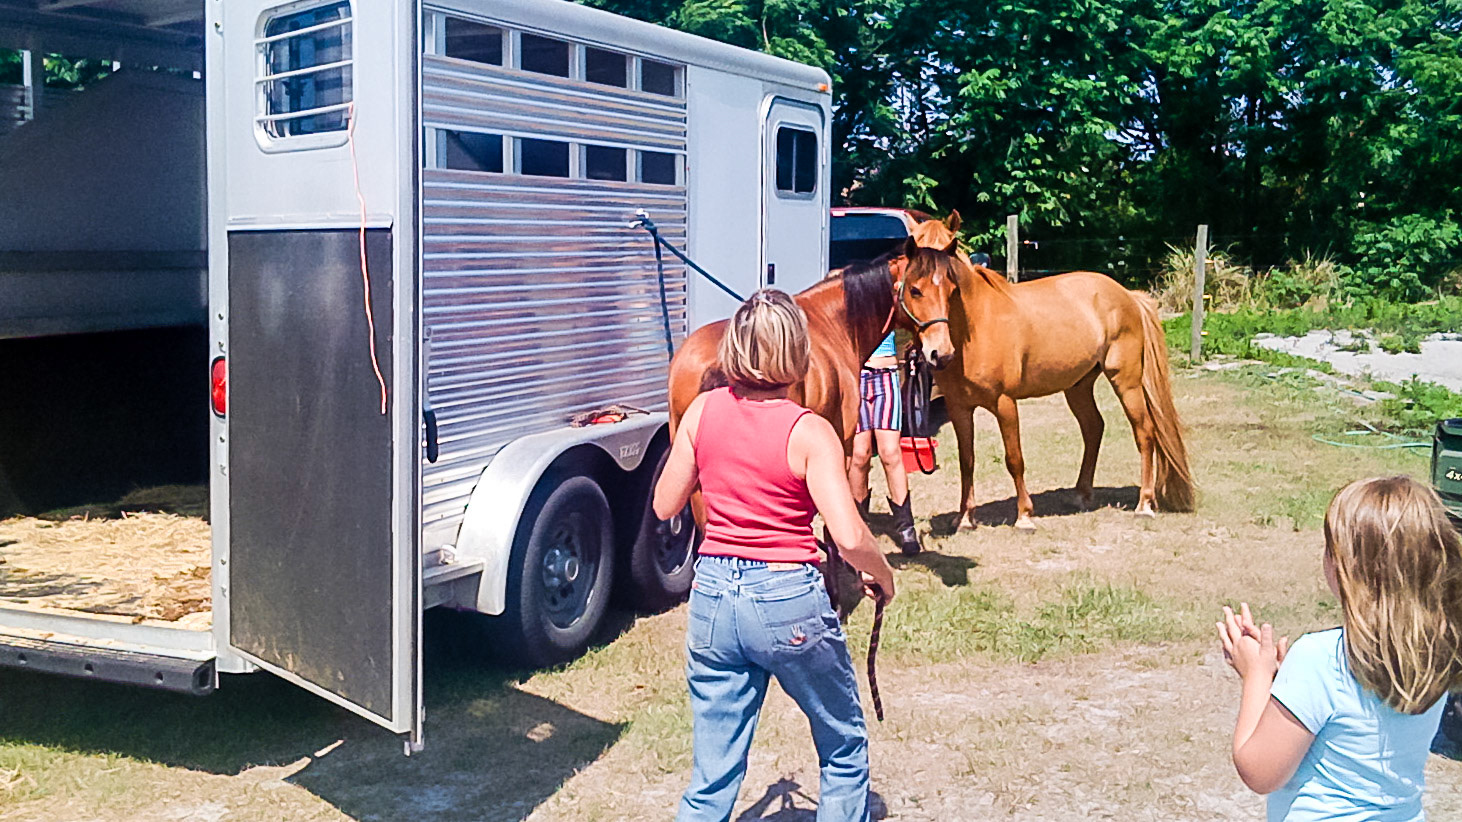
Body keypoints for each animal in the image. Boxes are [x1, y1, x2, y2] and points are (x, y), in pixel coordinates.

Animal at [895, 236, 1195, 531]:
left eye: (951, 290)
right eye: (914, 290)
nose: (940, 353)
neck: (976, 327)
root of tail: (1128, 296)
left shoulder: (1005, 403)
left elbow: (1014, 459)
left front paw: (1024, 517)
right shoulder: (959, 408)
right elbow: (966, 461)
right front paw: (965, 519)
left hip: (1125, 381)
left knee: (1144, 433)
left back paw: (1144, 504)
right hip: (1078, 386)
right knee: (1093, 428)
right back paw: (1081, 495)